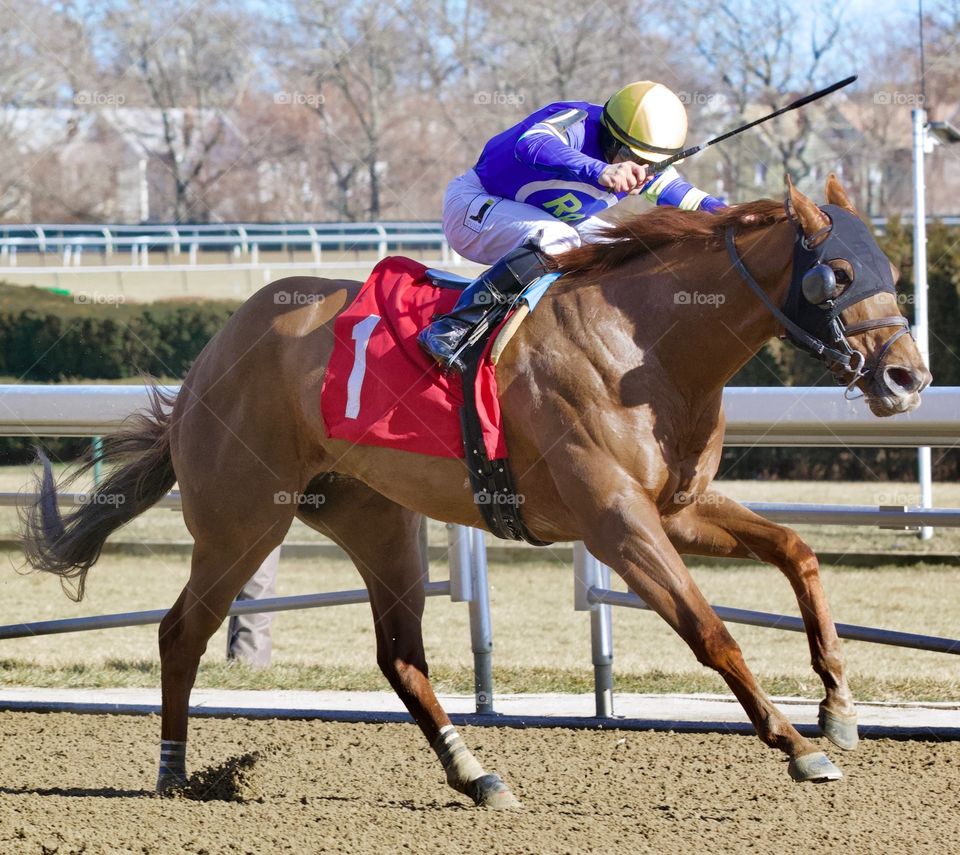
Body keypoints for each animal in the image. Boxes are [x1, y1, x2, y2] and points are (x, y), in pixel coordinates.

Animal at [20, 176, 928, 808]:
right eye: (838, 273)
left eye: (891, 269)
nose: (908, 377)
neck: (648, 344)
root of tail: (210, 357)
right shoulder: (617, 522)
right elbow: (712, 632)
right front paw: (798, 744)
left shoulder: (675, 508)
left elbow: (799, 553)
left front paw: (839, 704)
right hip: (242, 521)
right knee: (181, 631)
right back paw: (175, 770)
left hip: (374, 518)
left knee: (399, 655)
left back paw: (476, 772)